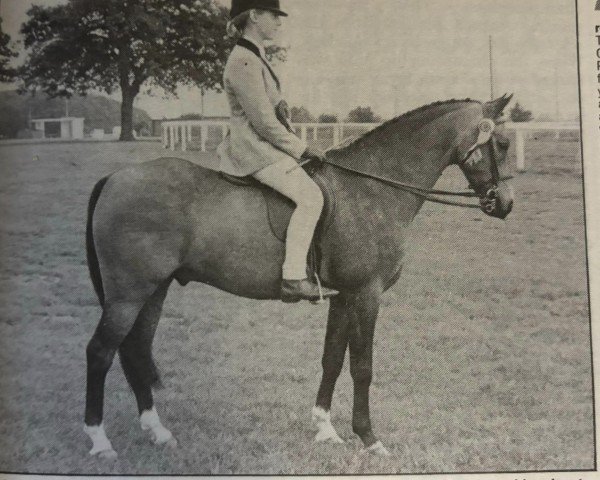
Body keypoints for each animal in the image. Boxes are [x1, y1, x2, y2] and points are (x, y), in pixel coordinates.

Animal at [83, 94, 516, 458]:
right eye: (504, 143)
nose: (506, 205)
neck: (372, 187)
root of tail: (115, 178)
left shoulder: (343, 296)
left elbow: (332, 359)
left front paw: (324, 428)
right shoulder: (367, 294)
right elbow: (363, 366)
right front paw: (369, 438)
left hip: (153, 292)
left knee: (135, 350)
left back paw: (157, 432)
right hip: (128, 295)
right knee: (101, 352)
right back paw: (99, 440)